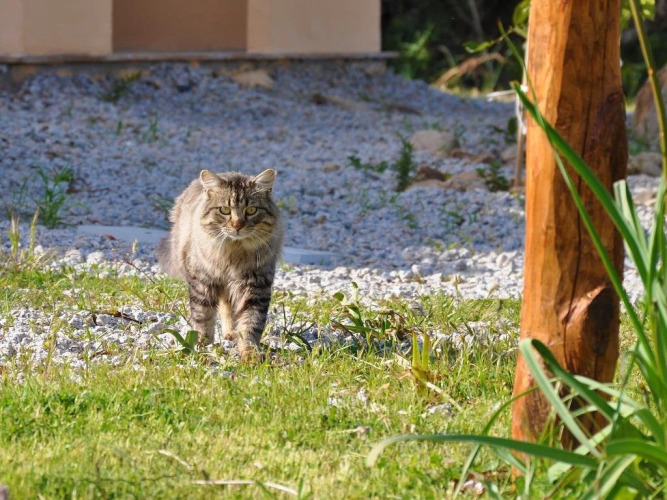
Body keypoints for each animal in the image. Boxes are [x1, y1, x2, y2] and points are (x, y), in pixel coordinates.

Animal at [157, 169, 284, 361]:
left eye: (251, 210)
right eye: (225, 210)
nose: (237, 225)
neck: (233, 253)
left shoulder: (256, 285)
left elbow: (251, 322)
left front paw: (250, 353)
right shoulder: (202, 282)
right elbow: (203, 318)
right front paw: (202, 347)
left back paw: (231, 333)